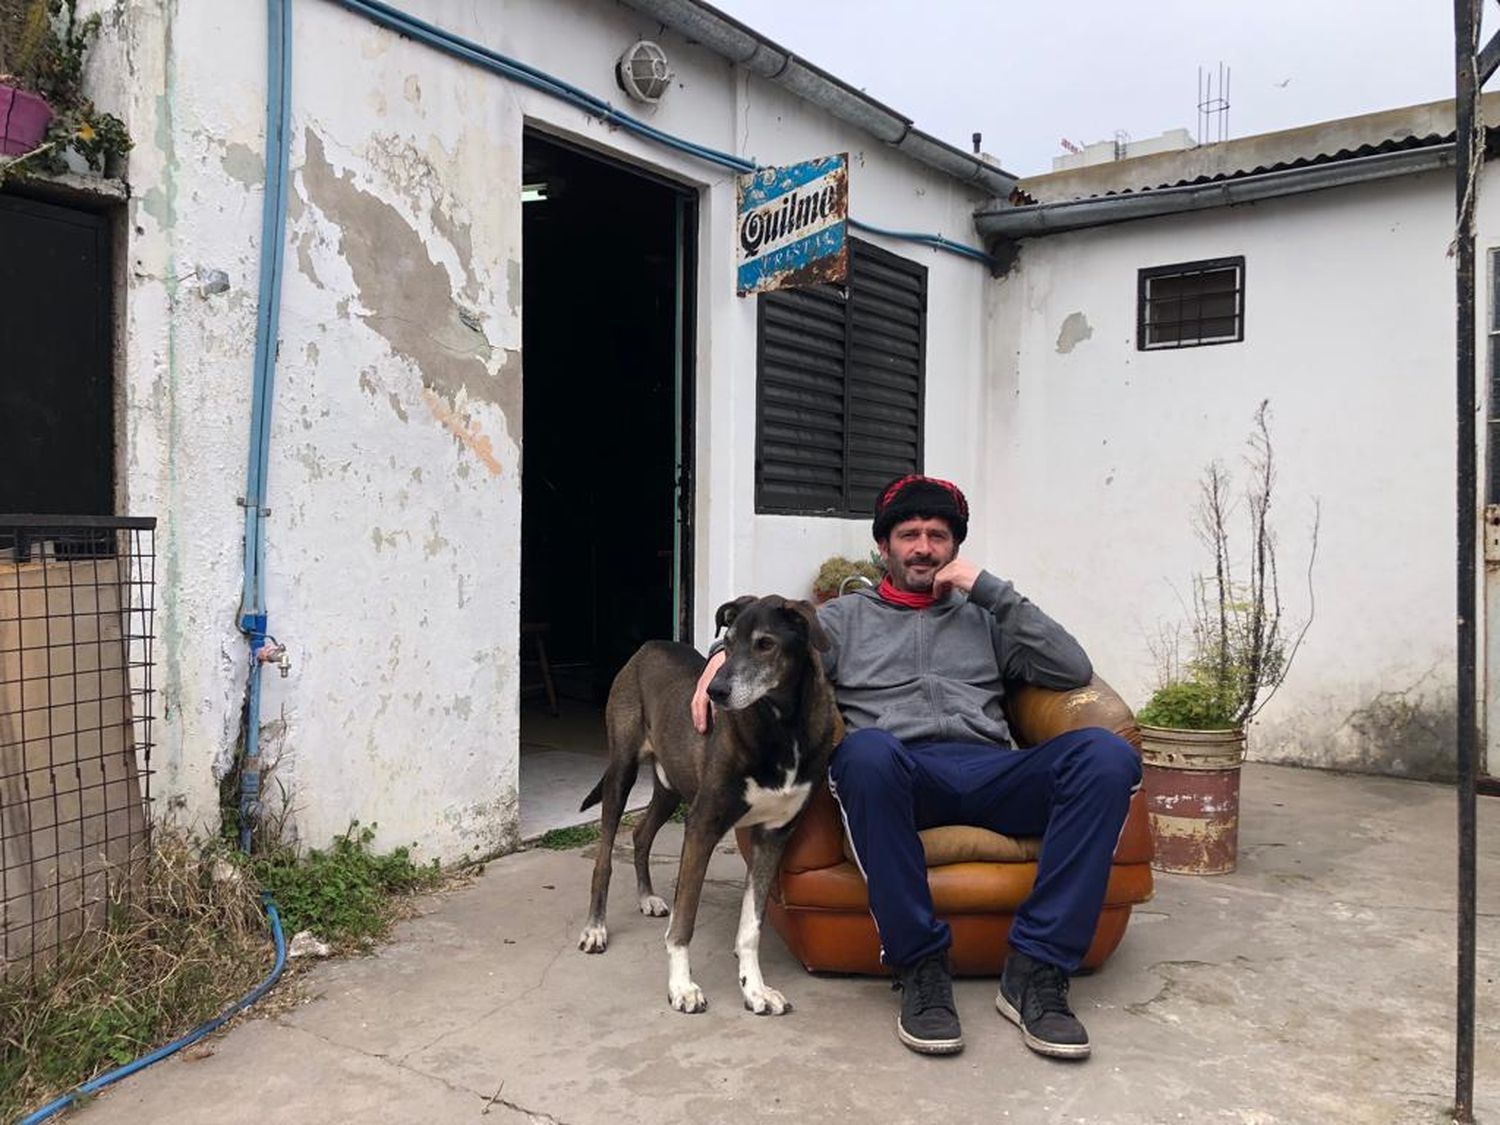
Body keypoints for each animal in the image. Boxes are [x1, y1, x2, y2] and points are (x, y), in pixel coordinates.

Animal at [573, 600, 840, 1020]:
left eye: (766, 644)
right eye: (727, 644)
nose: (714, 691)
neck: (782, 728)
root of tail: (649, 645)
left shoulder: (773, 835)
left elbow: (751, 927)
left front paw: (755, 989)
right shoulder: (703, 825)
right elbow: (684, 922)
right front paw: (682, 987)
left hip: (671, 786)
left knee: (641, 833)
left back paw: (647, 897)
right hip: (622, 772)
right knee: (605, 858)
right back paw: (595, 929)